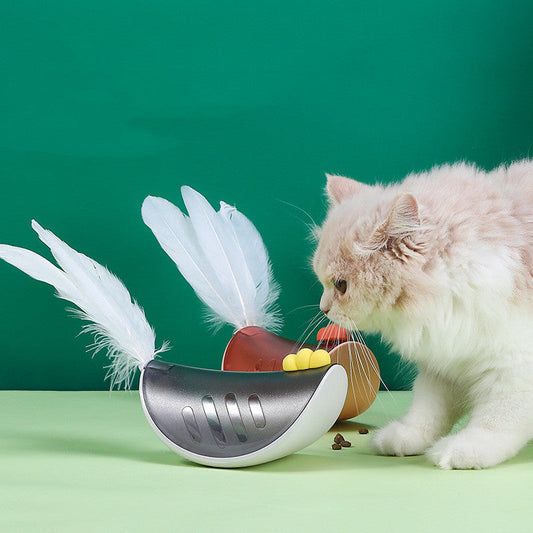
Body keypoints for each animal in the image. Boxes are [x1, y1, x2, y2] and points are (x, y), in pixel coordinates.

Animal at [312, 160, 532, 468]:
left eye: (341, 285)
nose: (323, 307)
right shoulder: (447, 358)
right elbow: (429, 410)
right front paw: (407, 437)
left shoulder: (514, 364)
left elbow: (497, 419)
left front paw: (466, 449)